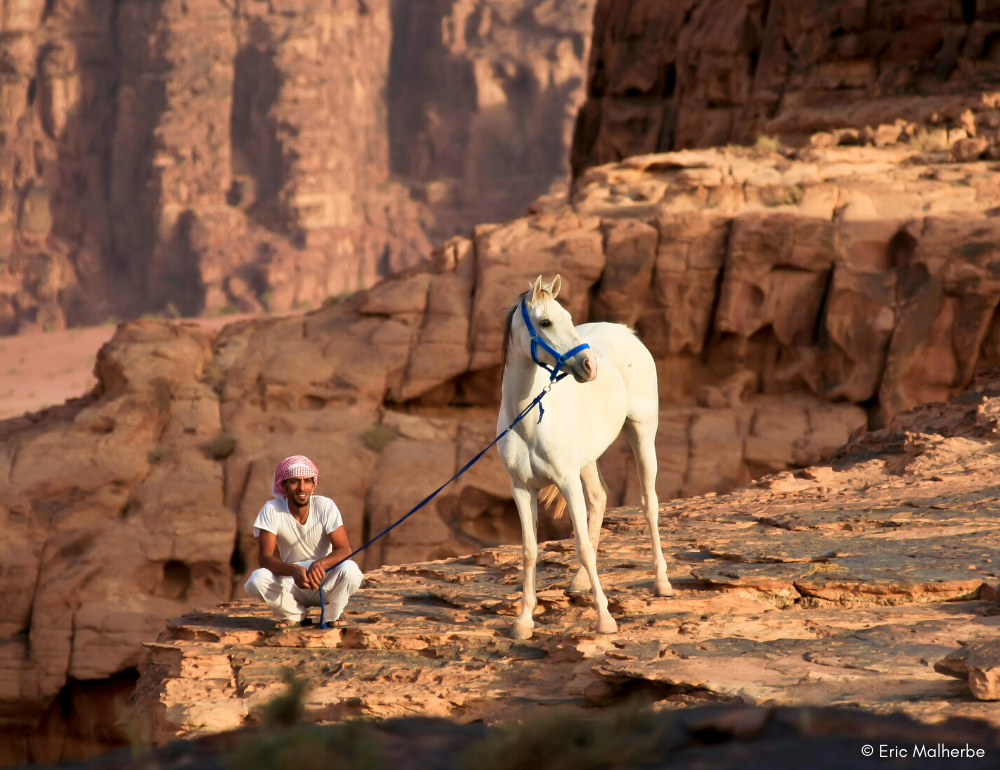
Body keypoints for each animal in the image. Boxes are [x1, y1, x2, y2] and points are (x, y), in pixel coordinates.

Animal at [494, 272, 668, 640]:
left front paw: (604, 619)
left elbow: (584, 547)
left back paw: (662, 582)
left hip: (642, 434)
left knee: (649, 503)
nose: (590, 366)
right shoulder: (521, 489)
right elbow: (529, 551)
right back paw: (580, 582)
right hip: (588, 460)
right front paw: (524, 621)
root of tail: (625, 331)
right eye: (545, 322)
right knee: (600, 499)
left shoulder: (568, 482)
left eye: (569, 318)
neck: (528, 420)